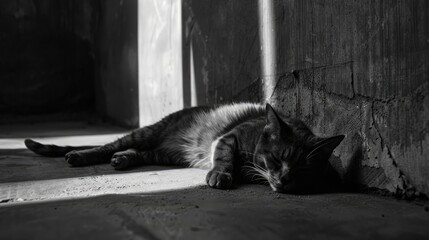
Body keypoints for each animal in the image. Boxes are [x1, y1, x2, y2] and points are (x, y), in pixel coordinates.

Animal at [24, 102, 344, 194]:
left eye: (303, 167)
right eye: (276, 158)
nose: (285, 179)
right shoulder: (228, 138)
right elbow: (224, 158)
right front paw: (221, 175)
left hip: (163, 153)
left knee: (138, 153)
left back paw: (122, 160)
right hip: (145, 133)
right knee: (107, 145)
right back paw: (81, 155)